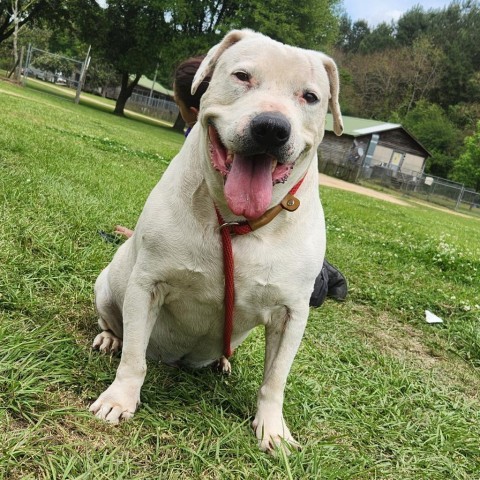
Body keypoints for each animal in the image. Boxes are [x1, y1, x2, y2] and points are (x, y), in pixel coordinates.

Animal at [90, 30, 344, 454]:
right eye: (241, 76)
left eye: (310, 97)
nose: (271, 127)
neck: (236, 221)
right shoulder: (147, 285)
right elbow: (135, 358)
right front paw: (119, 399)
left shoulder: (291, 313)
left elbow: (275, 379)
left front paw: (272, 428)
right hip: (108, 285)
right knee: (117, 326)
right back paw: (109, 339)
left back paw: (222, 362)